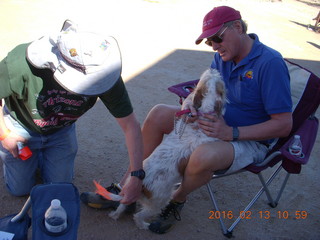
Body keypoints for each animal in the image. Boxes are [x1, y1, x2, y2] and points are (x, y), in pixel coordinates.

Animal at [107, 68, 225, 230]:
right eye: (218, 79)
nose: (214, 68)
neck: (203, 115)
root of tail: (141, 185)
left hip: (131, 192)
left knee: (122, 205)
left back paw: (114, 215)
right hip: (160, 201)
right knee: (138, 216)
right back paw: (144, 225)